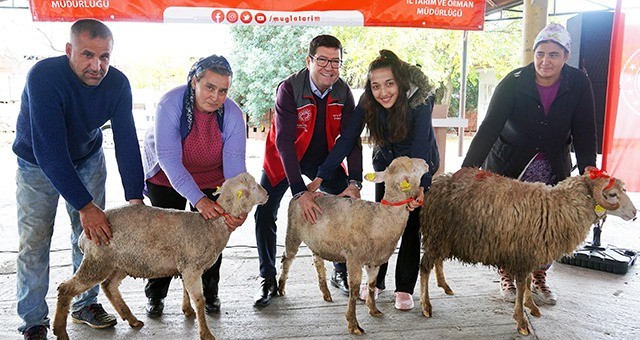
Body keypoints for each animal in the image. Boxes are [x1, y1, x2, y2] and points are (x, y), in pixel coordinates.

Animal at [52, 173, 268, 340]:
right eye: (254, 186)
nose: (266, 194)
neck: (210, 226)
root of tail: (83, 236)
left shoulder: (186, 265)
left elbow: (185, 290)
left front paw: (187, 311)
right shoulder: (191, 267)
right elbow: (199, 300)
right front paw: (206, 333)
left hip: (121, 262)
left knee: (109, 286)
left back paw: (132, 320)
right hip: (98, 261)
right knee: (66, 288)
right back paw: (60, 332)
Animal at [276, 157, 430, 334]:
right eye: (413, 169)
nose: (426, 162)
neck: (381, 216)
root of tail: (305, 191)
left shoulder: (373, 261)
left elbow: (372, 285)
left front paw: (374, 309)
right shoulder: (354, 259)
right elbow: (354, 291)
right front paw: (353, 324)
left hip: (317, 241)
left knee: (317, 261)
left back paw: (325, 292)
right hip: (293, 232)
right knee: (287, 259)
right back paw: (281, 288)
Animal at [420, 167, 636, 334]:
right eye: (613, 194)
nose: (634, 213)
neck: (557, 208)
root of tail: (436, 182)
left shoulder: (531, 253)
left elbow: (529, 281)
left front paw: (531, 307)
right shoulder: (522, 255)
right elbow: (522, 285)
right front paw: (522, 321)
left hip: (442, 237)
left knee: (437, 261)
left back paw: (444, 286)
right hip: (436, 233)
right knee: (425, 267)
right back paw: (426, 305)